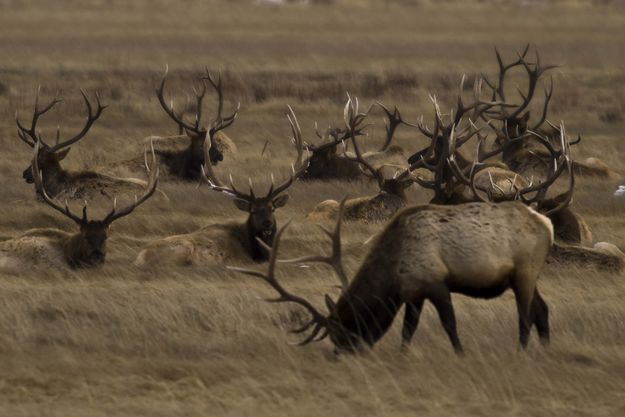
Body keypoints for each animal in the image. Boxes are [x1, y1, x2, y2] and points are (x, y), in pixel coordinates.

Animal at [134, 105, 308, 264]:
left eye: (272, 208)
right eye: (252, 211)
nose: (267, 224)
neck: (255, 251)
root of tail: (140, 257)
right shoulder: (240, 259)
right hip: (183, 248)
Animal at [228, 197, 552, 352]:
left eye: (342, 331)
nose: (341, 355)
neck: (393, 273)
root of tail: (545, 222)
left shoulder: (436, 283)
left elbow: (450, 324)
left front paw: (460, 353)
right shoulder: (413, 294)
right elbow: (407, 330)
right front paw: (402, 355)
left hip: (525, 270)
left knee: (525, 315)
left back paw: (521, 350)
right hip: (526, 276)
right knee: (542, 308)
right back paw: (545, 348)